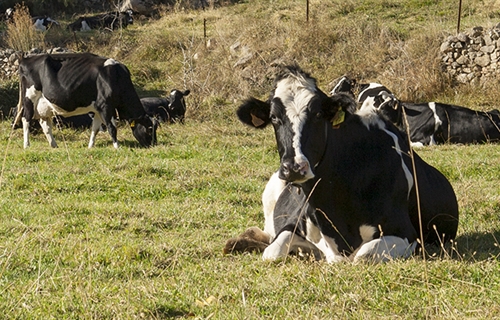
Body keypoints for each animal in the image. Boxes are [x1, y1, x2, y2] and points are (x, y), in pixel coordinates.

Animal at [13, 52, 156, 148]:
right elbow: (112, 128)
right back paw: (27, 145)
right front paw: (117, 147)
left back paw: (54, 145)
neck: (116, 77)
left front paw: (90, 146)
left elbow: (95, 128)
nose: (154, 145)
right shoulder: (106, 106)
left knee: (45, 124)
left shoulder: (98, 109)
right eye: (149, 129)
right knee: (26, 119)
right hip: (30, 97)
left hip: (44, 105)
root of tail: (25, 59)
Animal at [225, 65, 458, 262]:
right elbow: (273, 250)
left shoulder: (406, 233)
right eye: (274, 117)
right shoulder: (293, 222)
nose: (294, 167)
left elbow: (362, 256)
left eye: (318, 114)